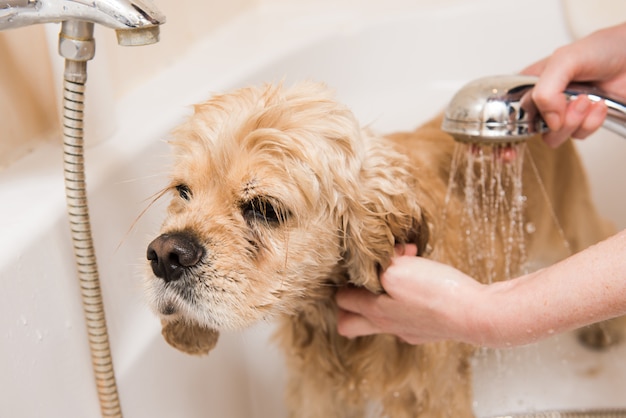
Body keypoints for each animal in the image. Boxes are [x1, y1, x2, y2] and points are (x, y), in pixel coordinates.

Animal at [145, 80, 616, 416]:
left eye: (264, 208)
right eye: (183, 191)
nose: (166, 254)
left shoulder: (431, 395)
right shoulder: (319, 394)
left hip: (567, 221)